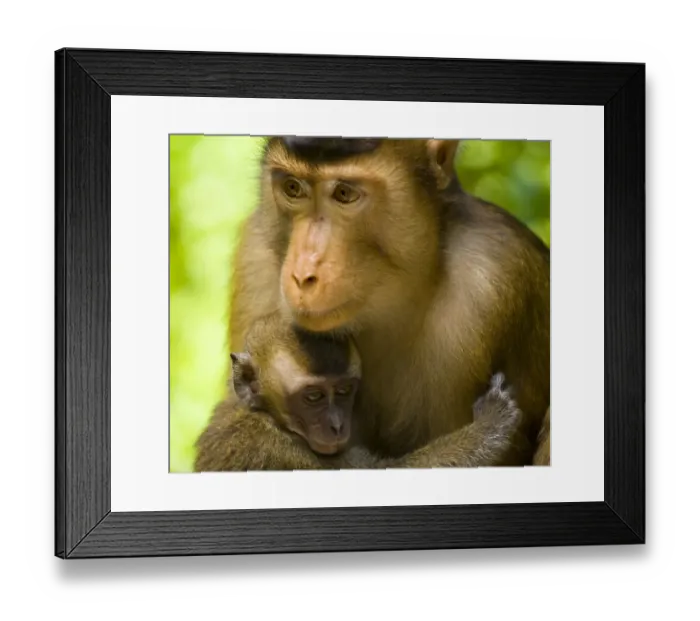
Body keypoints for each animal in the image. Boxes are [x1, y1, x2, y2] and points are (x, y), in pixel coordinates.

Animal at [194, 311, 531, 471]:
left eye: (344, 390)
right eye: (313, 396)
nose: (336, 425)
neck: (267, 416)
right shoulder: (282, 451)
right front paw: (490, 424)